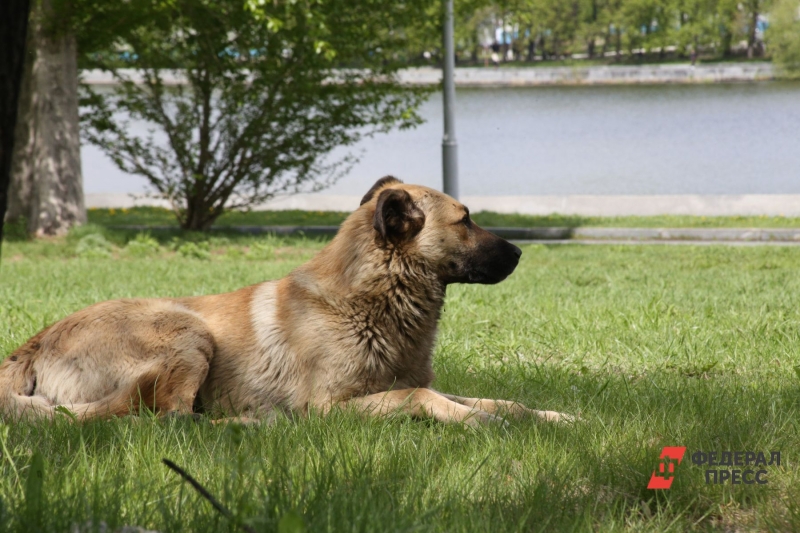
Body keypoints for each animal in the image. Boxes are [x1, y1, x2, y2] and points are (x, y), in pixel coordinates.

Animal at [3, 178, 572, 424]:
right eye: (466, 220)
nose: (522, 252)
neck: (367, 301)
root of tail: (33, 344)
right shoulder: (333, 405)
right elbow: (422, 398)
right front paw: (476, 423)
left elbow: (499, 401)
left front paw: (549, 417)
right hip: (188, 335)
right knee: (160, 418)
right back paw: (253, 425)